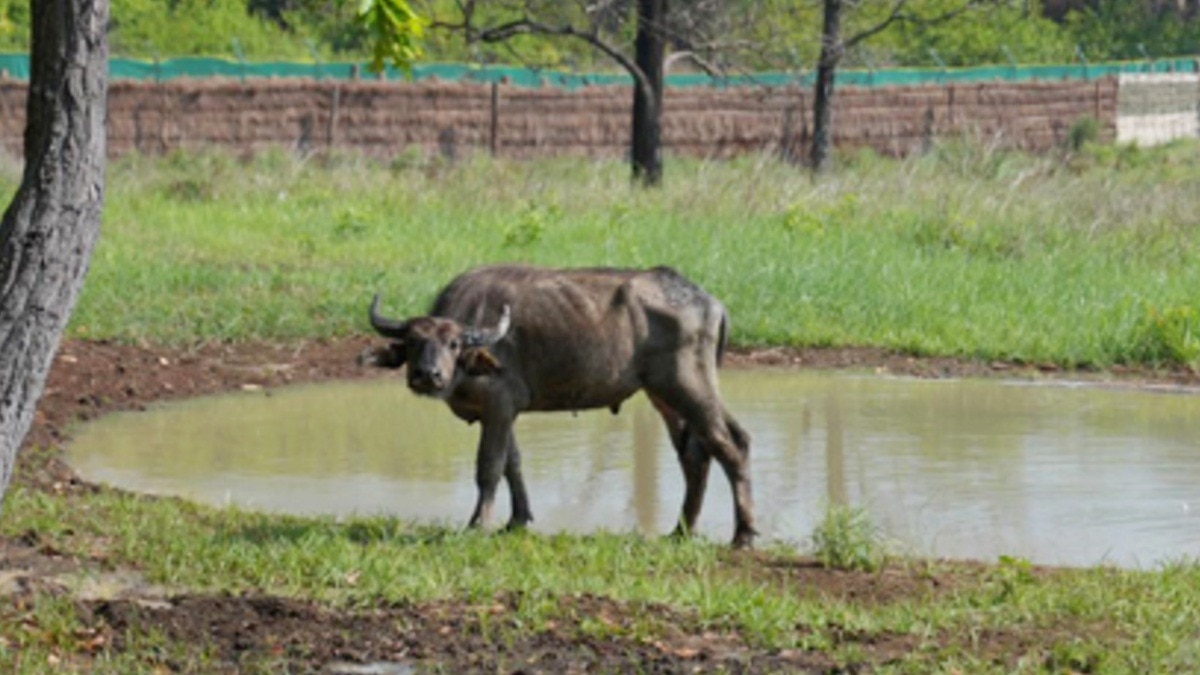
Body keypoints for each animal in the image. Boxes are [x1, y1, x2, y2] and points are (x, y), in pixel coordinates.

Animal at [361, 264, 755, 547]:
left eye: (454, 343)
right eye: (414, 341)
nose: (428, 375)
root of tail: (709, 302)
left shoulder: (499, 406)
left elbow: (489, 466)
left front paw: (479, 524)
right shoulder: (503, 413)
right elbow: (513, 463)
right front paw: (517, 520)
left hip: (688, 386)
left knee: (730, 442)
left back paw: (743, 535)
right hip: (664, 396)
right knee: (695, 453)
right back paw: (681, 530)